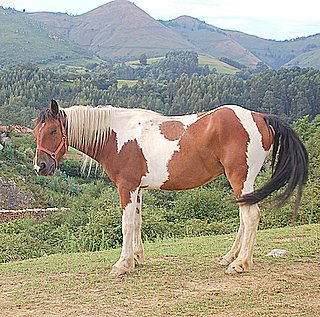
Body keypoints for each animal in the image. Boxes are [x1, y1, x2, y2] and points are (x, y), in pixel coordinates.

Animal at [31, 99, 308, 274]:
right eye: (35, 132)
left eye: (53, 131)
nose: (40, 166)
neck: (116, 136)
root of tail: (260, 117)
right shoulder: (137, 189)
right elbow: (138, 222)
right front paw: (137, 258)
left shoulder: (126, 187)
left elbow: (126, 224)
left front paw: (123, 264)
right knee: (244, 217)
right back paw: (230, 257)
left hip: (240, 178)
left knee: (250, 217)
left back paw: (240, 263)